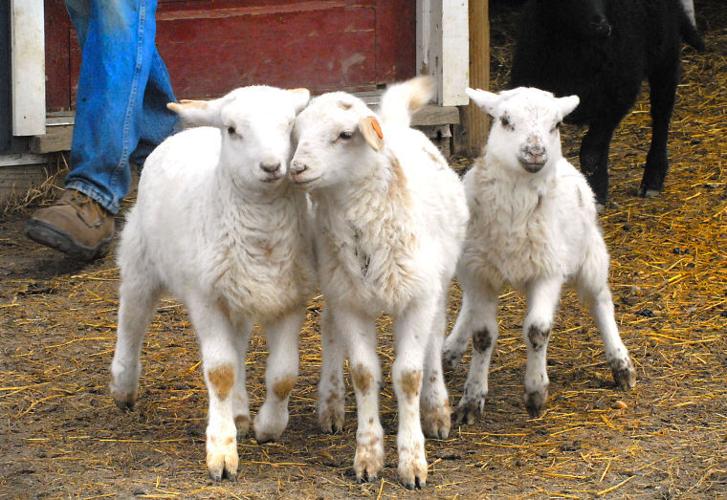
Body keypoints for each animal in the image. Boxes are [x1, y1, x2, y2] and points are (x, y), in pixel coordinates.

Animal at [109, 85, 315, 481]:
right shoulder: (206, 299)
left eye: (289, 126)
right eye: (233, 130)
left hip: (238, 294)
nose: (271, 167)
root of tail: (194, 129)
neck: (262, 225)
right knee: (131, 318)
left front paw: (268, 427)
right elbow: (220, 373)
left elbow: (283, 375)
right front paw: (221, 452)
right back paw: (123, 386)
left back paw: (240, 412)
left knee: (238, 346)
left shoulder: (288, 297)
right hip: (141, 259)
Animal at [289, 76, 469, 489]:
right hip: (337, 283)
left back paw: (436, 409)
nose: (297, 167)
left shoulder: (417, 300)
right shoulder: (349, 301)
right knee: (328, 327)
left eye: (344, 135)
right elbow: (364, 373)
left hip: (435, 284)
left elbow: (408, 375)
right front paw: (368, 455)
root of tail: (394, 126)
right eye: (298, 134)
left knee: (434, 337)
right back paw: (331, 404)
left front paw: (413, 459)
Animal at [443, 87, 636, 425]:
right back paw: (450, 350)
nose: (535, 152)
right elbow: (482, 335)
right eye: (505, 120)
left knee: (601, 302)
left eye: (556, 125)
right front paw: (471, 399)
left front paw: (535, 392)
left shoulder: (548, 270)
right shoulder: (478, 272)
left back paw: (620, 363)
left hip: (590, 256)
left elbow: (537, 330)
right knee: (468, 305)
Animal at [510, 0, 705, 206]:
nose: (602, 26)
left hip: (665, 53)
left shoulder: (615, 98)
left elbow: (591, 150)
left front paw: (595, 193)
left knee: (662, 113)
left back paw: (653, 178)